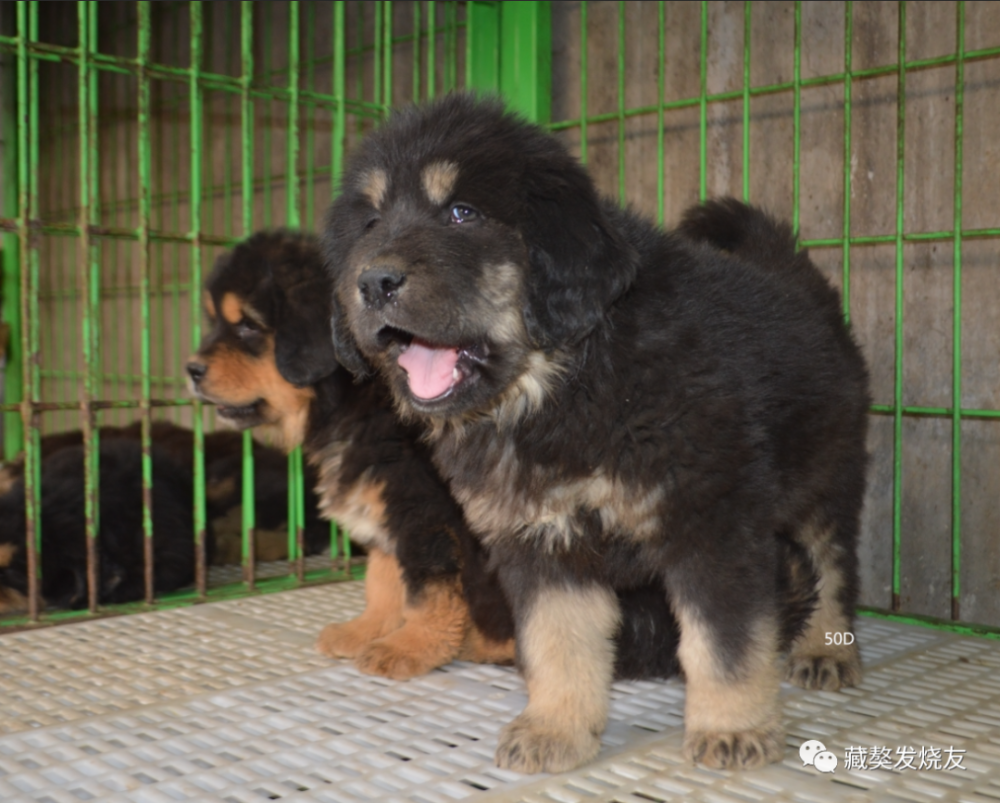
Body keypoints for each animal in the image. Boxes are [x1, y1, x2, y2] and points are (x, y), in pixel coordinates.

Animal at [322, 94, 868, 772]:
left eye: (462, 213)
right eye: (371, 224)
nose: (373, 283)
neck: (562, 382)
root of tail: (791, 274)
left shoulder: (711, 521)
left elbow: (724, 641)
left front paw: (733, 729)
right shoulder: (541, 540)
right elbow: (559, 643)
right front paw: (556, 728)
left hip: (828, 472)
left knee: (833, 561)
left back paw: (828, 648)